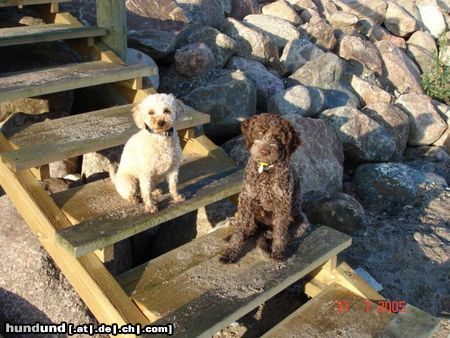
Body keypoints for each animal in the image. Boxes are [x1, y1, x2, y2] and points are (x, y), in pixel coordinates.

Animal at [221, 113, 310, 264]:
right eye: (259, 132)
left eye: (278, 137)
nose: (265, 151)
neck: (265, 169)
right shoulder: (246, 198)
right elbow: (240, 228)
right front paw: (231, 252)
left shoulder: (282, 203)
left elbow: (280, 232)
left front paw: (278, 253)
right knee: (250, 228)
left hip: (301, 224)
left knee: (275, 234)